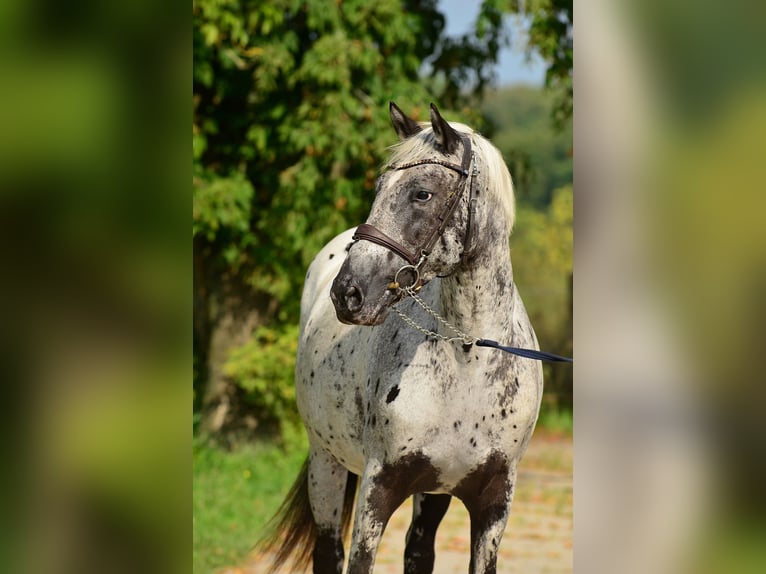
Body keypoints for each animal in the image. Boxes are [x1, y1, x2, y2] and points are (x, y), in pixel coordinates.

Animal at [260, 102, 544, 574]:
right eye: (379, 187)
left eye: (422, 194)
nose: (348, 293)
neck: (469, 357)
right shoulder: (379, 490)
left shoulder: (492, 505)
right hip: (326, 464)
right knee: (328, 551)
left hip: (429, 494)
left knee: (418, 548)